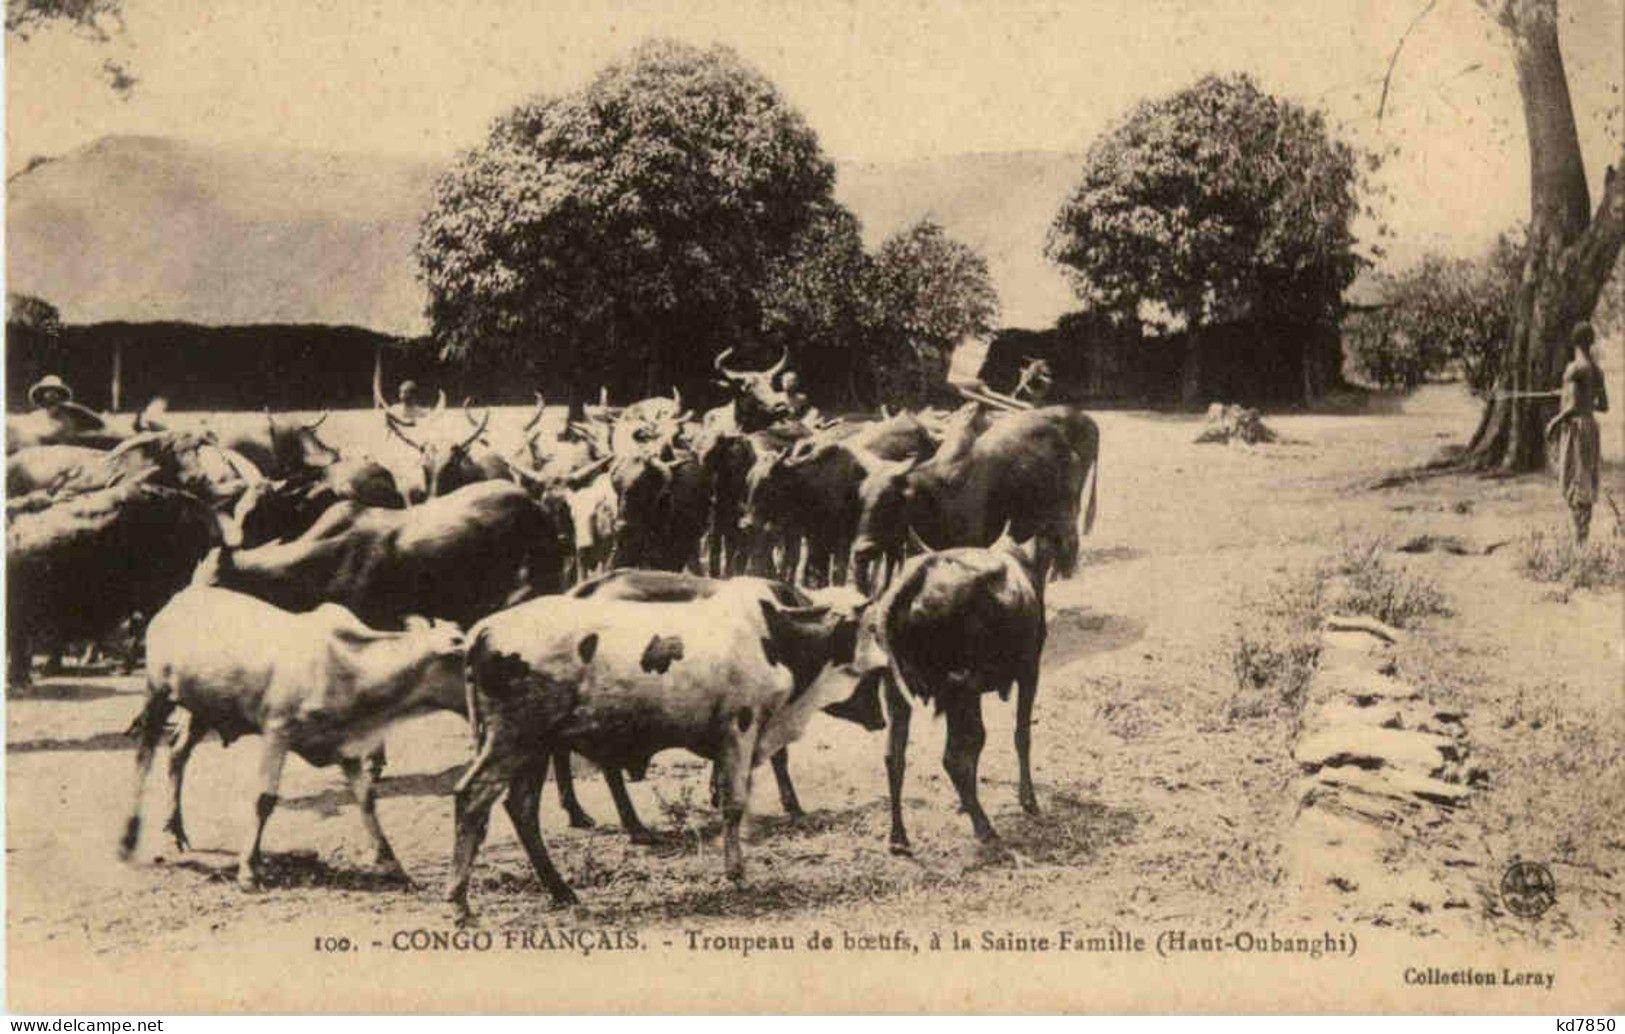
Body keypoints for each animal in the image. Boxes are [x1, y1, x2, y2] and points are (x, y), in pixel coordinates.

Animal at [118, 585, 464, 890]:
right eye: (465, 660)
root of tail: (181, 597)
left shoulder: (345, 745)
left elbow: (366, 798)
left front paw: (394, 865)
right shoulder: (277, 732)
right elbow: (264, 800)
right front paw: (248, 870)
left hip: (204, 707)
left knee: (178, 752)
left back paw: (175, 828)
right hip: (158, 693)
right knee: (144, 756)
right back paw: (129, 837)